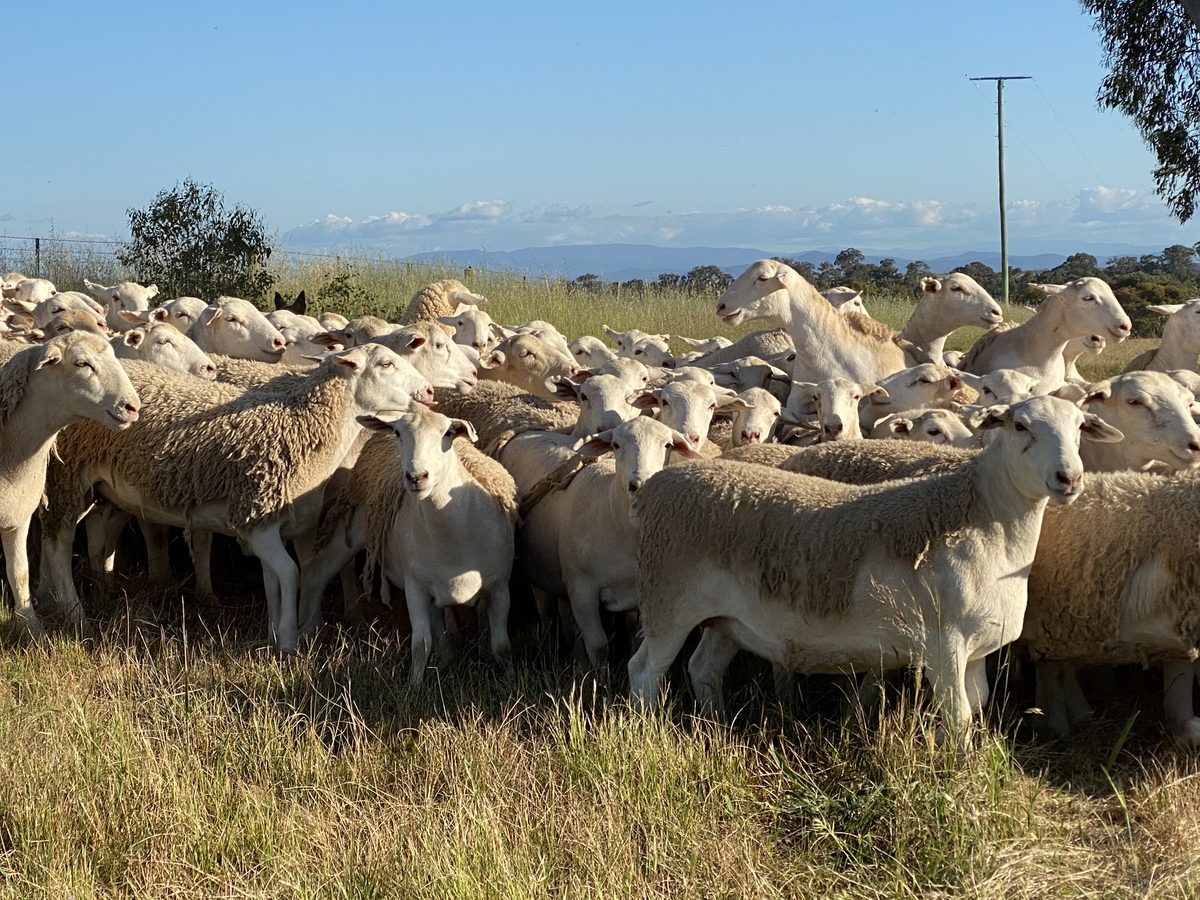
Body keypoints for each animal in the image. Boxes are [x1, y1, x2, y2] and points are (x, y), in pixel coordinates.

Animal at [40, 344, 434, 650]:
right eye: (386, 363)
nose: (430, 392)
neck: (304, 426)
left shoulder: (271, 524)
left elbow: (275, 580)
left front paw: (275, 633)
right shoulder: (257, 520)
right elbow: (291, 574)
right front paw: (288, 642)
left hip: (94, 485)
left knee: (82, 535)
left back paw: (85, 592)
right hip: (66, 473)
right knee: (57, 543)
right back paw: (73, 613)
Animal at [519, 416, 700, 675]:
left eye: (667, 445)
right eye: (615, 445)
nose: (639, 484)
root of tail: (528, 432)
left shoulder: (640, 596)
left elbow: (634, 640)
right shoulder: (583, 591)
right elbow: (598, 645)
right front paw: (599, 680)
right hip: (536, 570)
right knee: (546, 611)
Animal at [628, 395, 1124, 728]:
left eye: (1080, 427)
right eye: (1021, 426)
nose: (1069, 478)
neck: (983, 519)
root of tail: (658, 486)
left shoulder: (978, 649)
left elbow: (977, 706)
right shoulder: (943, 645)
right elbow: (959, 718)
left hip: (726, 620)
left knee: (703, 669)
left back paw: (714, 727)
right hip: (668, 602)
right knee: (645, 672)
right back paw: (647, 734)